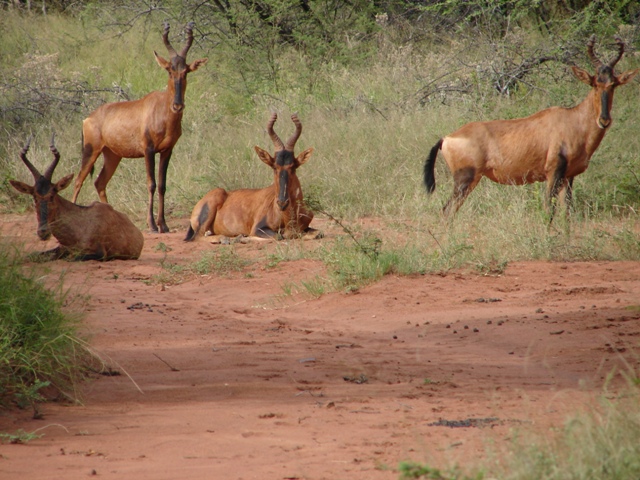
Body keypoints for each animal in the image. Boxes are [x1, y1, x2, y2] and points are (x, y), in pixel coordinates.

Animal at [10, 135, 144, 262]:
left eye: (52, 195)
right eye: (34, 197)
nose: (43, 232)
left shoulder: (99, 254)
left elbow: (71, 259)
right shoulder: (61, 248)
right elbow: (32, 256)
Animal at [72, 22, 208, 232]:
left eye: (186, 72)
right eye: (169, 70)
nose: (178, 106)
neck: (161, 108)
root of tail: (88, 118)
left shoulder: (167, 151)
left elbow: (162, 185)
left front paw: (164, 225)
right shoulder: (148, 150)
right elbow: (151, 183)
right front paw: (152, 225)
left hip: (112, 155)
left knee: (99, 182)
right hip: (91, 150)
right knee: (78, 181)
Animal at [184, 111, 316, 240]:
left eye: (293, 167)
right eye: (274, 167)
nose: (282, 203)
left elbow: (316, 233)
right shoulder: (258, 228)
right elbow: (278, 236)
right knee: (198, 237)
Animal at [422, 36, 636, 222]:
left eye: (613, 84)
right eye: (594, 83)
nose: (604, 120)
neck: (572, 119)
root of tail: (446, 138)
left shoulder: (568, 177)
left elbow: (567, 213)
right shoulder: (553, 174)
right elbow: (549, 210)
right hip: (465, 180)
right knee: (446, 211)